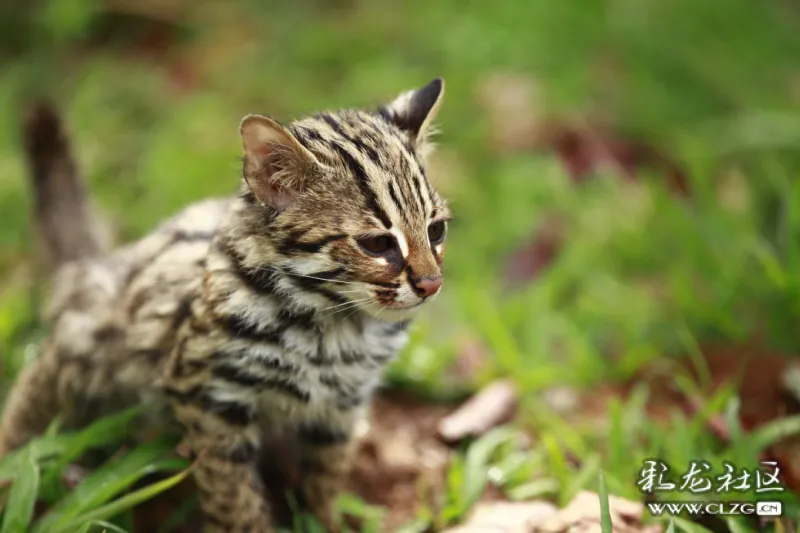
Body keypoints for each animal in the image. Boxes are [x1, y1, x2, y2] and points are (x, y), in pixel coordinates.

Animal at [0, 79, 450, 532]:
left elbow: (323, 482)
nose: (431, 284)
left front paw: (324, 522)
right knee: (37, 387)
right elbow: (234, 498)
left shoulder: (341, 408)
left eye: (436, 231)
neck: (337, 325)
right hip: (89, 348)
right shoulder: (210, 397)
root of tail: (103, 266)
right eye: (377, 244)